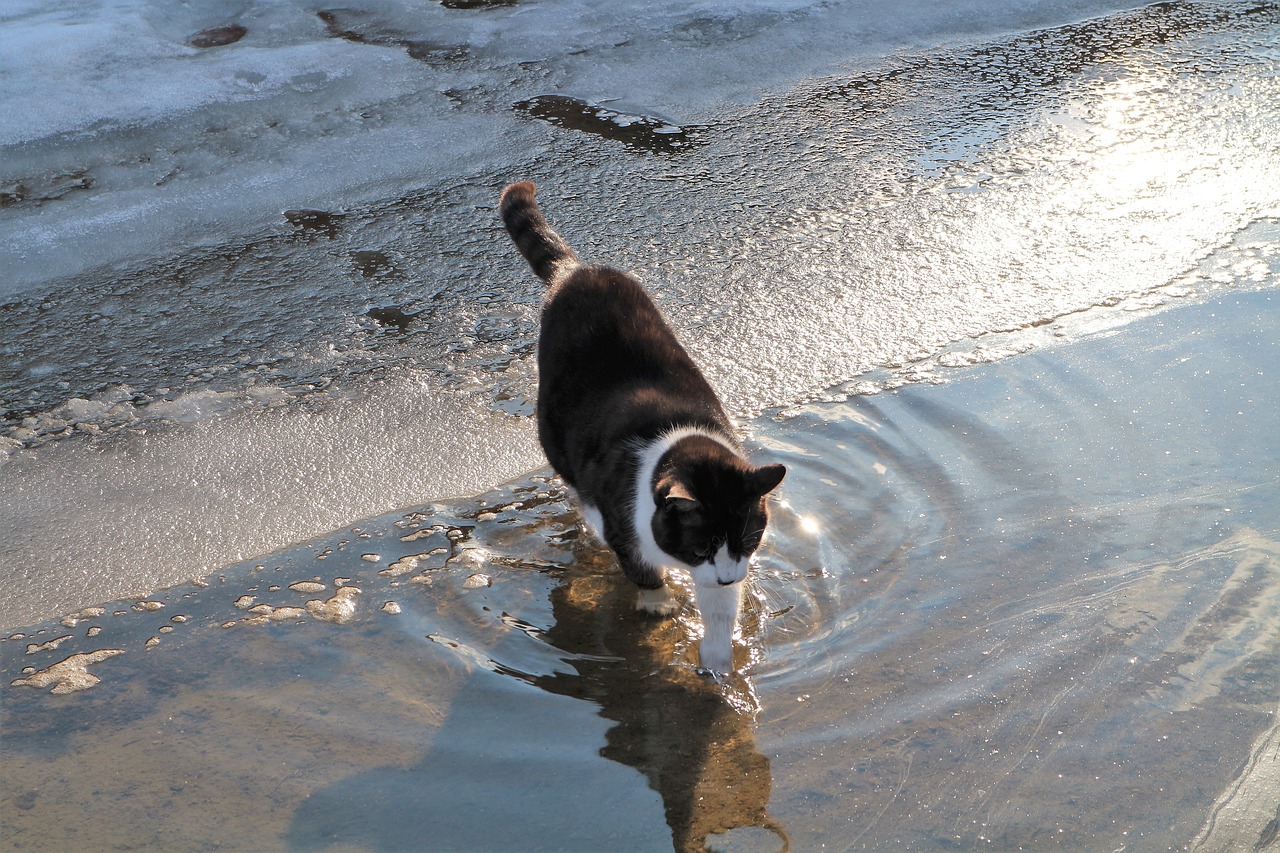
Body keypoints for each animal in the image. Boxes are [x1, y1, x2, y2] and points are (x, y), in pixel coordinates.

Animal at [496, 179, 778, 671]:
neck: (678, 436)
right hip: (553, 428)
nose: (727, 578)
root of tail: (576, 270)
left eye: (748, 540)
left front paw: (718, 666)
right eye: (701, 548)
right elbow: (638, 564)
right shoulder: (619, 516)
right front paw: (658, 602)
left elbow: (719, 617)